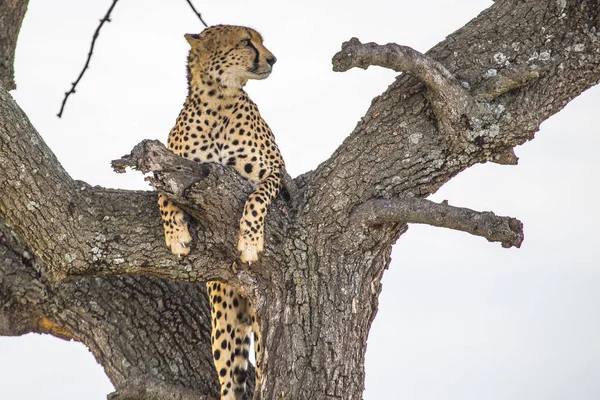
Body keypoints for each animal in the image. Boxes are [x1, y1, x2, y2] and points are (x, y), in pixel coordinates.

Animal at [158, 25, 282, 400]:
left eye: (260, 40)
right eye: (245, 42)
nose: (273, 59)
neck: (218, 101)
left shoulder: (274, 174)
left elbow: (256, 199)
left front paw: (250, 243)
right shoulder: (171, 170)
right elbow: (165, 199)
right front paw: (177, 237)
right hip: (224, 318)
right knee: (229, 375)